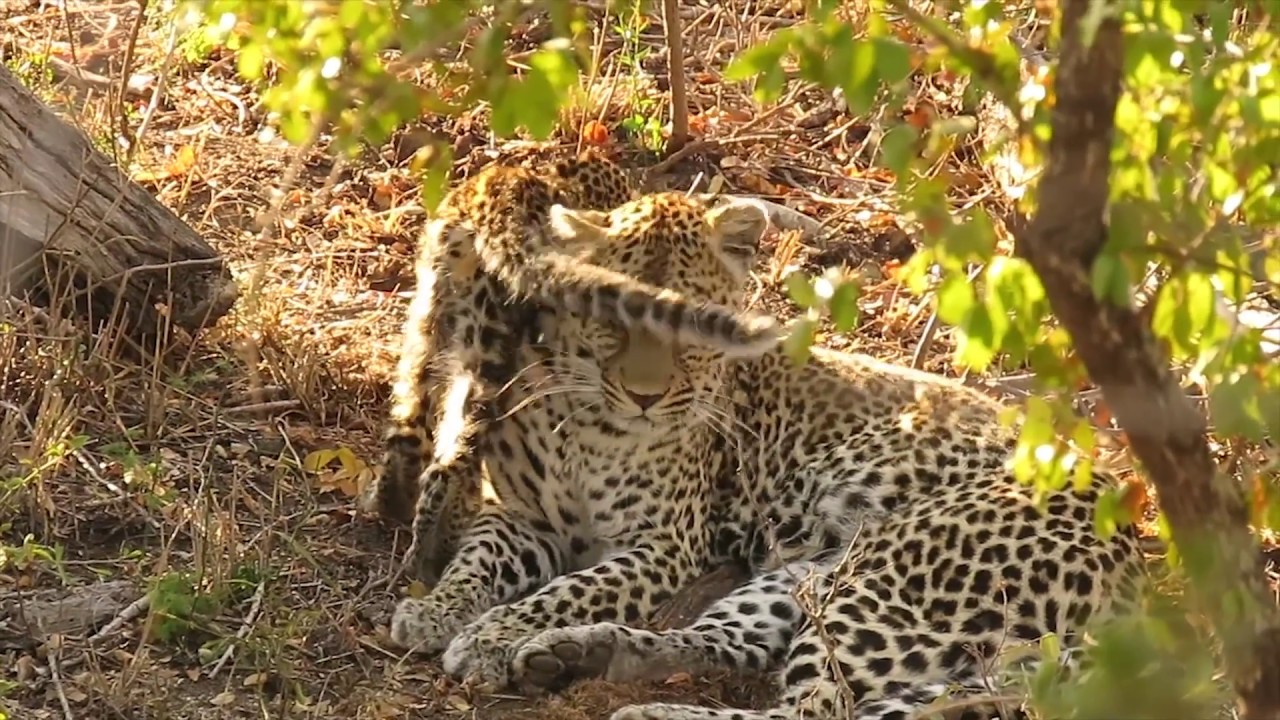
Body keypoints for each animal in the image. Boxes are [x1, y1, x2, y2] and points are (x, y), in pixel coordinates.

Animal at [363, 150, 784, 581]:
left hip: (432, 317)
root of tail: (501, 184)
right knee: (453, 459)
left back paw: (397, 516)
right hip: (492, 340)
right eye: (614, 322)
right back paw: (433, 554)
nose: (644, 399)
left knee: (412, 419)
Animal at [385, 188, 1148, 720]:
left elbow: (570, 588)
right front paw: (436, 610)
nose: (644, 397)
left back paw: (637, 703)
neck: (593, 426)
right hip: (810, 577)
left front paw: (490, 636)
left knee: (818, 708)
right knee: (739, 647)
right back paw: (581, 653)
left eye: (688, 322)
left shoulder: (664, 543)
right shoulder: (523, 516)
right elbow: (478, 562)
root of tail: (1137, 560)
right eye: (616, 320)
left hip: (894, 575)